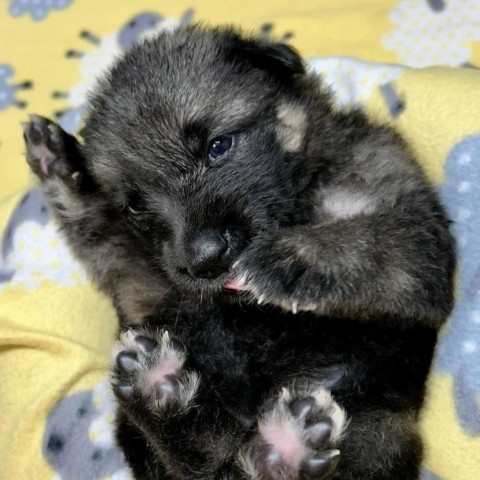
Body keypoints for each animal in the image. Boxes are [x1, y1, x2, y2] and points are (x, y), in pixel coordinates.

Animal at [23, 26, 458, 480]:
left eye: (218, 146)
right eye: (136, 205)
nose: (207, 259)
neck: (301, 195)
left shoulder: (417, 241)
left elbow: (368, 240)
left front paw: (284, 261)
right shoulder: (146, 283)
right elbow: (101, 230)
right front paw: (60, 165)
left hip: (377, 430)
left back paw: (282, 449)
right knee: (200, 460)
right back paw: (164, 391)